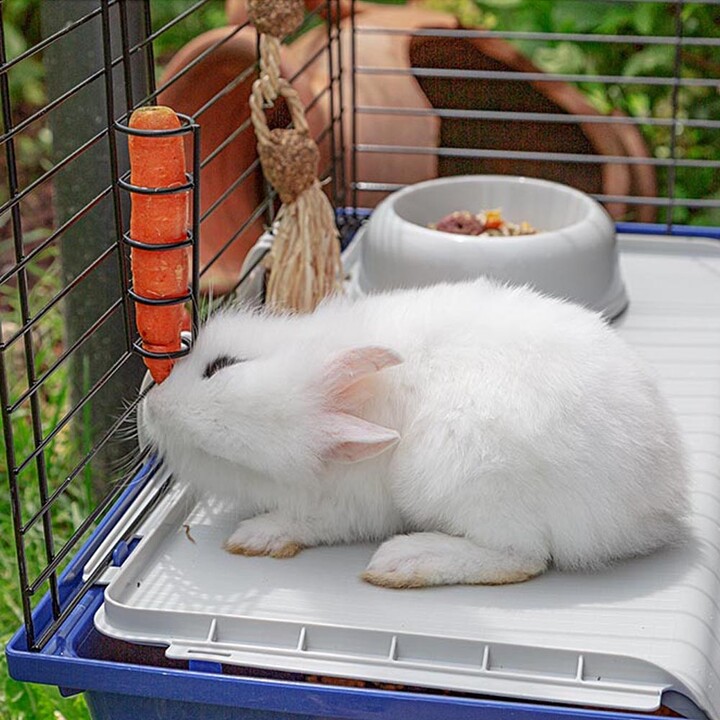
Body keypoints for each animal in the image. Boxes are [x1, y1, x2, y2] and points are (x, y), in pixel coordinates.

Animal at [140, 278, 688, 588]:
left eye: (221, 366)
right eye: (223, 459)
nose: (150, 409)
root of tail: (657, 503)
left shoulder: (350, 506)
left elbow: (309, 522)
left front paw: (255, 536)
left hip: (462, 476)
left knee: (523, 557)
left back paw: (403, 562)